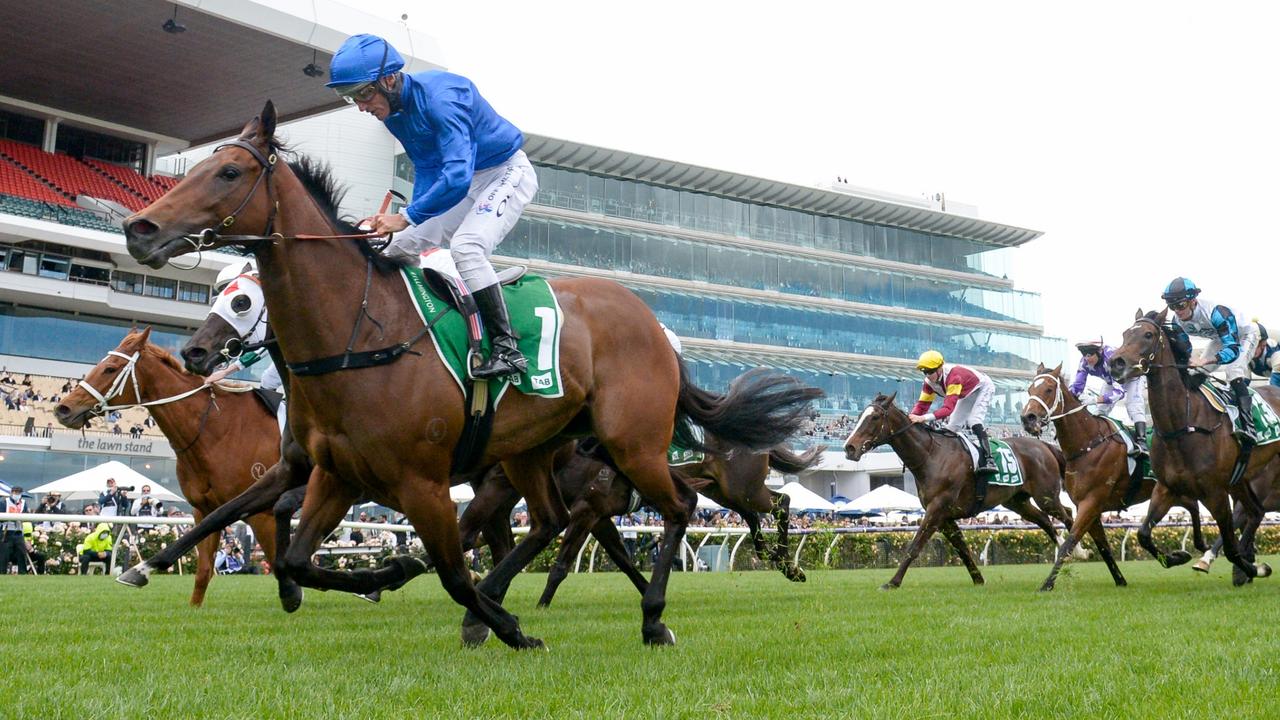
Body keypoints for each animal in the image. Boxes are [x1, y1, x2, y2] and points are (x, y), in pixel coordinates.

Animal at [53, 327, 279, 602]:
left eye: (110, 368)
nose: (63, 409)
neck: (218, 430)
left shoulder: (263, 514)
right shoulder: (204, 510)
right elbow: (203, 573)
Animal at [120, 103, 819, 648]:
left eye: (228, 172)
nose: (138, 227)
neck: (359, 335)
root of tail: (654, 326)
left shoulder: (422, 480)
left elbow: (451, 567)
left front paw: (496, 622)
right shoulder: (334, 472)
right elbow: (277, 544)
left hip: (632, 443)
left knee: (681, 506)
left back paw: (654, 617)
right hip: (535, 452)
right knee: (553, 520)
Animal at [844, 392, 1075, 589]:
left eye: (874, 417)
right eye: (859, 416)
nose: (849, 448)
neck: (931, 455)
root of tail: (1045, 446)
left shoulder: (937, 509)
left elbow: (915, 546)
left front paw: (893, 582)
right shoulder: (944, 516)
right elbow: (962, 549)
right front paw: (979, 579)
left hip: (1046, 496)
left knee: (1068, 514)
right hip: (1018, 501)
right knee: (1046, 520)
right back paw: (1075, 553)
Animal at [1013, 358, 1203, 589]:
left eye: (1049, 389)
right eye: (1030, 389)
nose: (1028, 418)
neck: (1088, 444)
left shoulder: (1092, 502)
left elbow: (1070, 542)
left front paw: (1047, 584)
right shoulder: (1088, 506)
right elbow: (1102, 546)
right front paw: (1120, 580)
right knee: (1192, 505)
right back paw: (1195, 548)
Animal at [1111, 308, 1280, 584]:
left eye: (1148, 335)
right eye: (1126, 333)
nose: (1115, 363)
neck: (1182, 426)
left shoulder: (1215, 492)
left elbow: (1231, 549)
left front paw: (1249, 567)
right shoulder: (1166, 488)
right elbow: (1143, 535)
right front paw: (1177, 556)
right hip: (1240, 480)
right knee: (1256, 511)